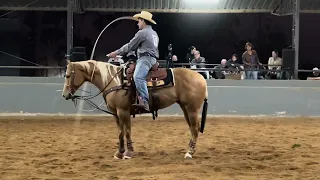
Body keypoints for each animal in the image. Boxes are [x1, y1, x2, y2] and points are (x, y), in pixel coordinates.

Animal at [62, 60, 208, 159]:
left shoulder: (123, 111)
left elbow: (127, 132)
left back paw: (189, 153)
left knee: (195, 129)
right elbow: (120, 132)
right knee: (192, 128)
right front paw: (119, 152)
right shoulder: (116, 114)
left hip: (192, 109)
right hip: (185, 108)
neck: (115, 81)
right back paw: (189, 149)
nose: (65, 95)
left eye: (68, 75)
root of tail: (201, 77)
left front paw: (128, 152)